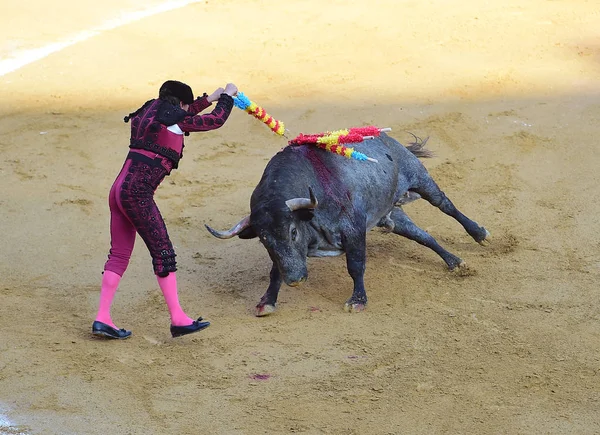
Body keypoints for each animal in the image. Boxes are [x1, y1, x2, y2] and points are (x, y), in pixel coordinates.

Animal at [204, 133, 490, 316]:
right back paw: (455, 262)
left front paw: (357, 301)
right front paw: (267, 302)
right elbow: (276, 270)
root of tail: (387, 139)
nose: (295, 280)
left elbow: (356, 265)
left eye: (293, 231)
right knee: (422, 236)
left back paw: (480, 234)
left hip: (420, 178)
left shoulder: (353, 229)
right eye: (264, 239)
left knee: (446, 205)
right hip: (392, 215)